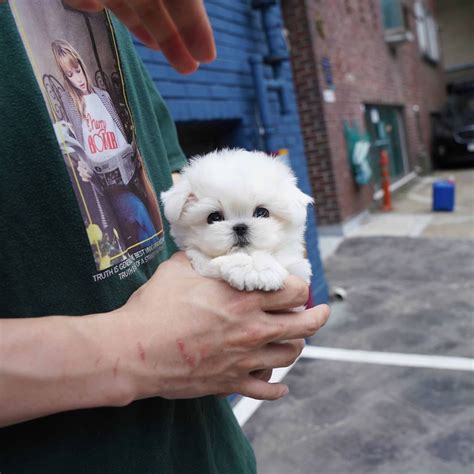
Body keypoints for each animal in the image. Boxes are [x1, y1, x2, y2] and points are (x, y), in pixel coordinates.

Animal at [161, 148, 312, 290]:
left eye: (262, 213)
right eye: (214, 217)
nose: (240, 227)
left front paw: (261, 269)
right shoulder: (200, 262)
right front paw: (250, 270)